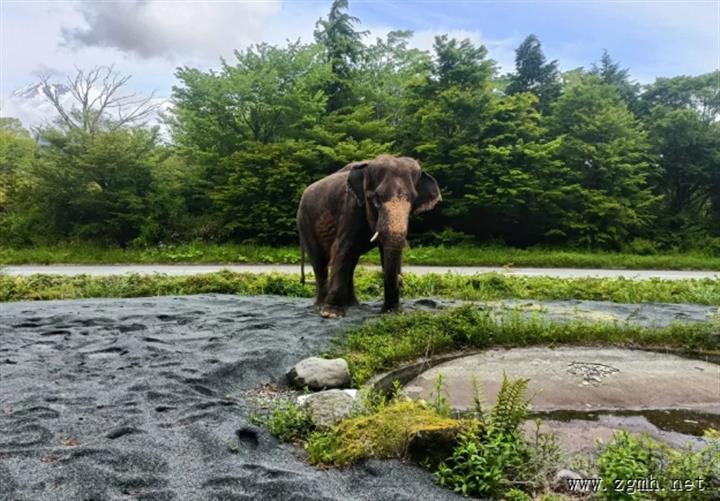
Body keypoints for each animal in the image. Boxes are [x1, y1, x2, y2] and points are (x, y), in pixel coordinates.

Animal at [296, 154, 442, 316]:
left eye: (413, 200)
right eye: (376, 199)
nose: (401, 280)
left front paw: (392, 312)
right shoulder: (351, 207)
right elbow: (342, 249)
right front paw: (331, 314)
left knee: (351, 262)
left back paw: (353, 305)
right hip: (305, 223)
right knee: (320, 261)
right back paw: (321, 306)